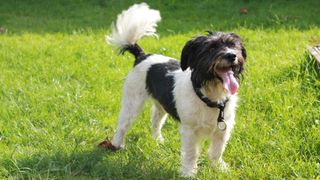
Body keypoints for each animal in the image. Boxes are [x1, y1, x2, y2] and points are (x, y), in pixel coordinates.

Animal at [100, 2, 248, 177]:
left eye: (233, 45)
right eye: (211, 48)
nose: (232, 55)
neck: (210, 95)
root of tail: (142, 55)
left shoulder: (223, 129)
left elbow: (217, 151)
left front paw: (218, 168)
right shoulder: (190, 131)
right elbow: (191, 154)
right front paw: (189, 173)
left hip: (161, 105)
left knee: (155, 121)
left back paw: (158, 140)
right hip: (132, 102)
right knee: (123, 124)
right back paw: (116, 145)